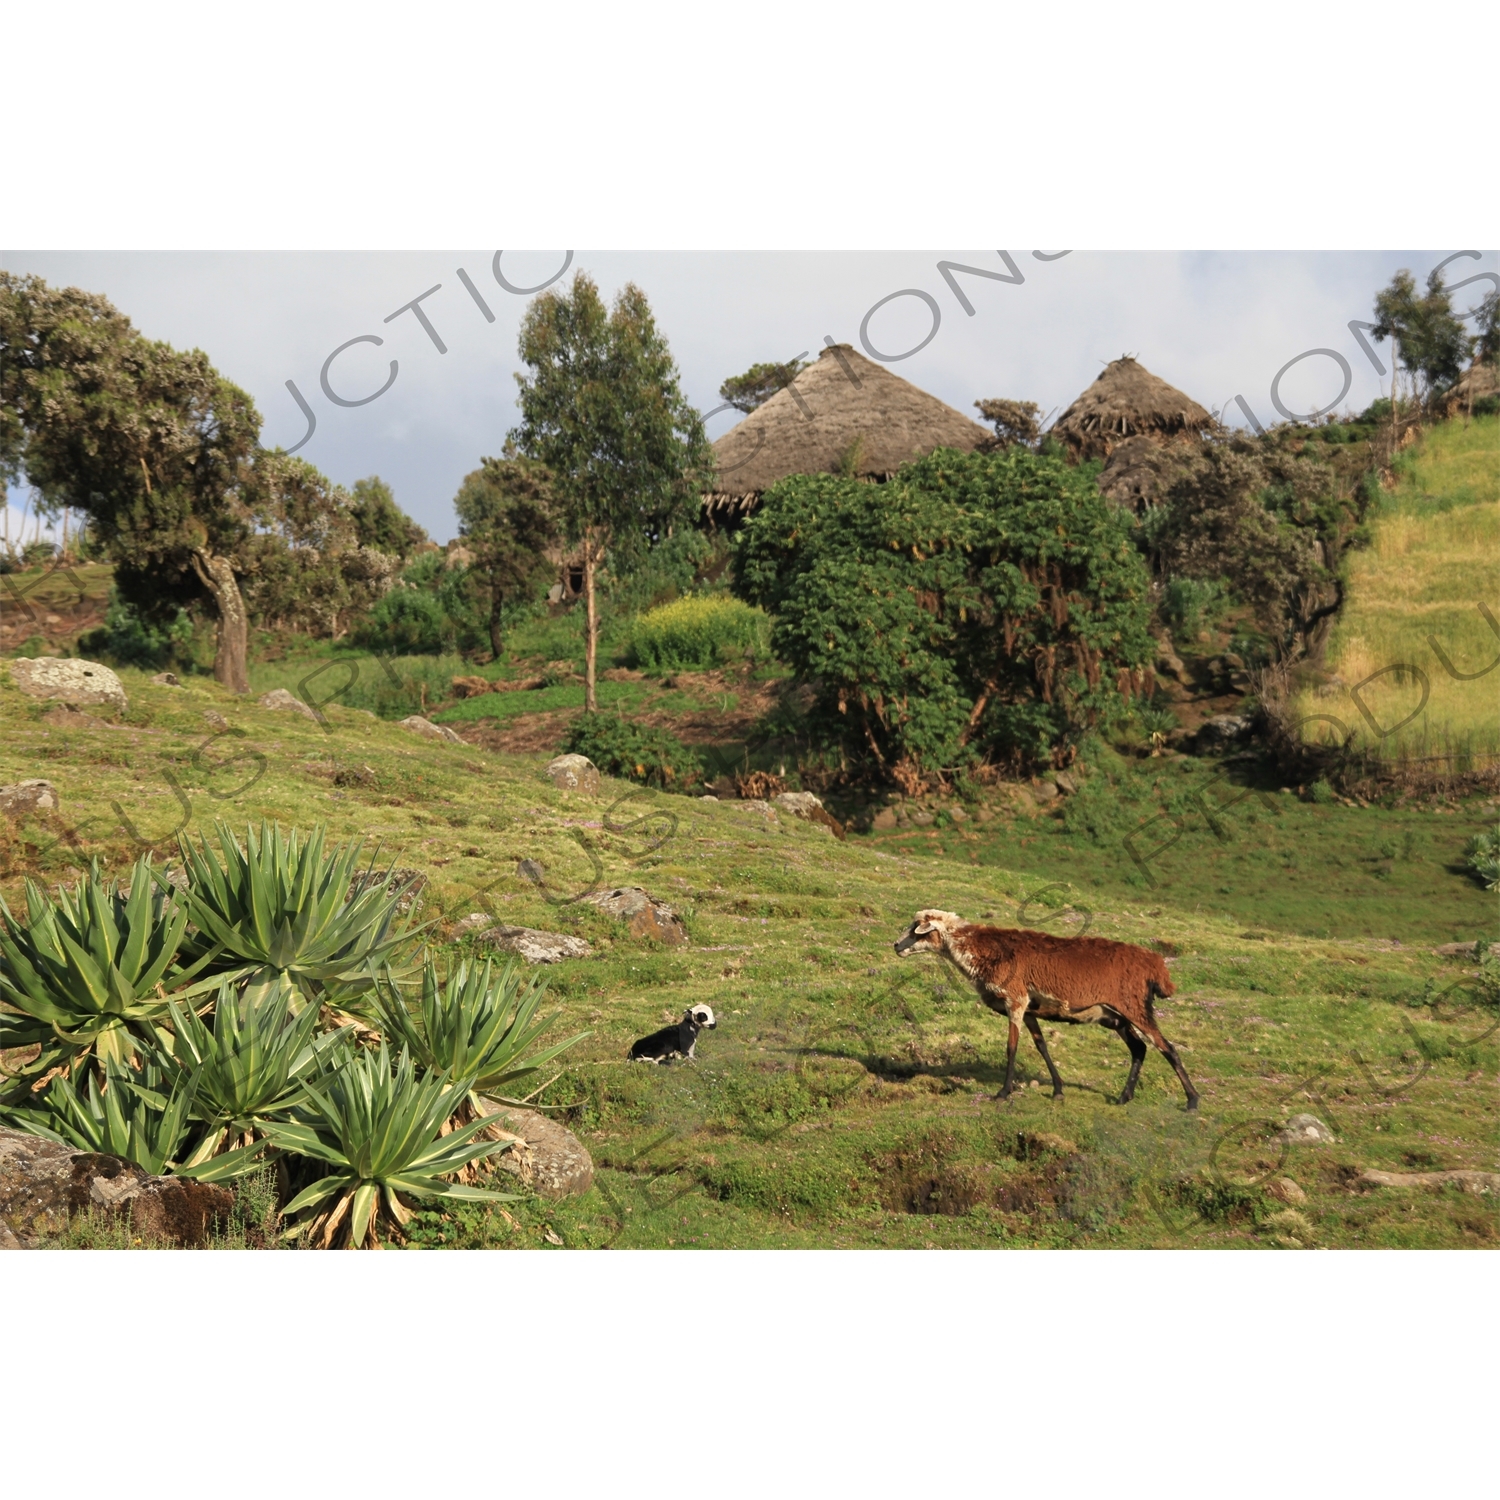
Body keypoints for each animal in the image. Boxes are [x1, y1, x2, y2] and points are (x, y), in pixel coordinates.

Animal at [894, 906, 1200, 1110]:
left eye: (916, 928)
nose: (896, 945)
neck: (979, 951)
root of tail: (1155, 965)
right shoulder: (1030, 1010)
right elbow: (1041, 1045)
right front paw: (1058, 1089)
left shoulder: (1015, 1000)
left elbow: (1012, 1047)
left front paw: (1003, 1093)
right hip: (1115, 1016)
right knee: (1140, 1049)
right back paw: (1124, 1097)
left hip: (1135, 1007)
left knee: (1167, 1048)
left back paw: (1192, 1100)